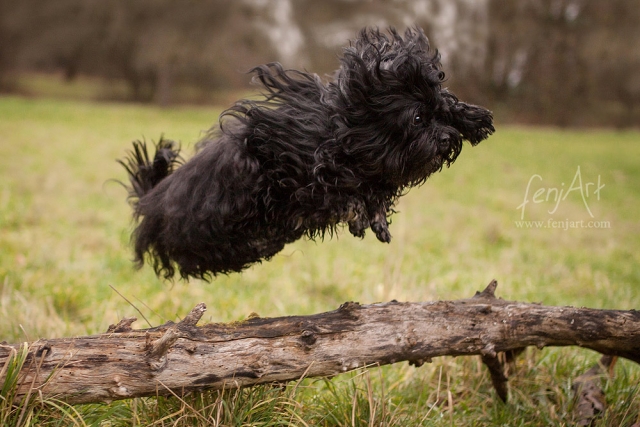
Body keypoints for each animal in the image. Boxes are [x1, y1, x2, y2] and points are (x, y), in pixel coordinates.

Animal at [120, 27, 496, 280]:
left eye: (440, 111)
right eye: (418, 118)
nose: (446, 138)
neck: (345, 135)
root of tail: (150, 198)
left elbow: (368, 193)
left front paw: (473, 118)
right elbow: (334, 192)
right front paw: (358, 212)